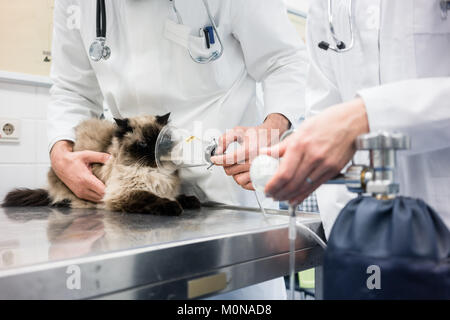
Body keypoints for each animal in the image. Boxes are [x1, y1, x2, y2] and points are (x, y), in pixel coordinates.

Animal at [0, 114, 200, 216]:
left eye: (162, 142)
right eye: (143, 144)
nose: (155, 154)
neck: (153, 171)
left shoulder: (165, 188)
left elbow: (176, 196)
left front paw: (192, 201)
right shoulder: (123, 194)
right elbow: (152, 198)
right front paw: (174, 207)